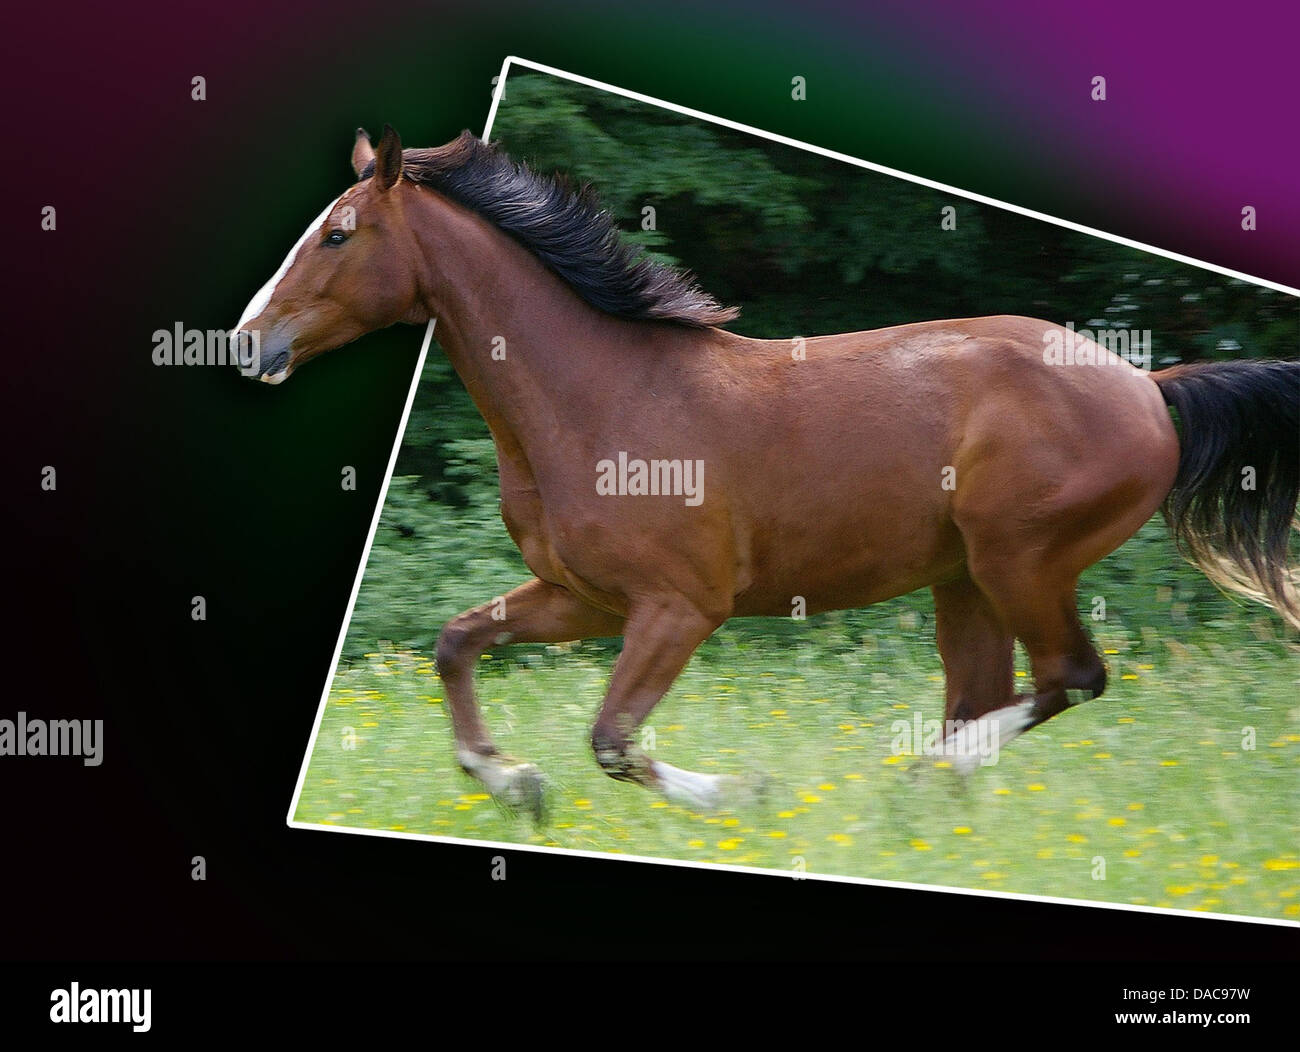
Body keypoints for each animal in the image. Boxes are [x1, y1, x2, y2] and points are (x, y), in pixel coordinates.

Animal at [233, 125, 1300, 816]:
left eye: (337, 234)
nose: (248, 344)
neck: (598, 396)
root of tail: (1148, 386)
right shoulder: (586, 598)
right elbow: (457, 644)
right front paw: (515, 783)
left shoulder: (678, 608)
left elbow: (612, 741)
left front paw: (742, 792)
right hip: (965, 580)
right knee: (992, 694)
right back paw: (928, 798)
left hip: (1020, 561)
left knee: (1070, 677)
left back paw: (916, 780)